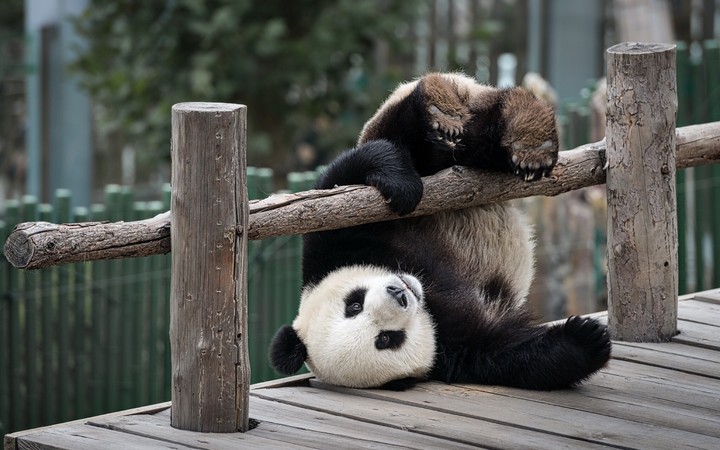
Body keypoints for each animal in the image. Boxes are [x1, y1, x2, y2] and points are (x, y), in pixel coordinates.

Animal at [269, 72, 611, 391]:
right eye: (386, 339)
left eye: (354, 303)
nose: (399, 293)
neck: (427, 293)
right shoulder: (451, 351)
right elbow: (507, 353)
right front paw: (587, 340)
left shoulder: (331, 245)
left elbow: (345, 177)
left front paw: (402, 186)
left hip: (421, 130)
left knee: (421, 136)